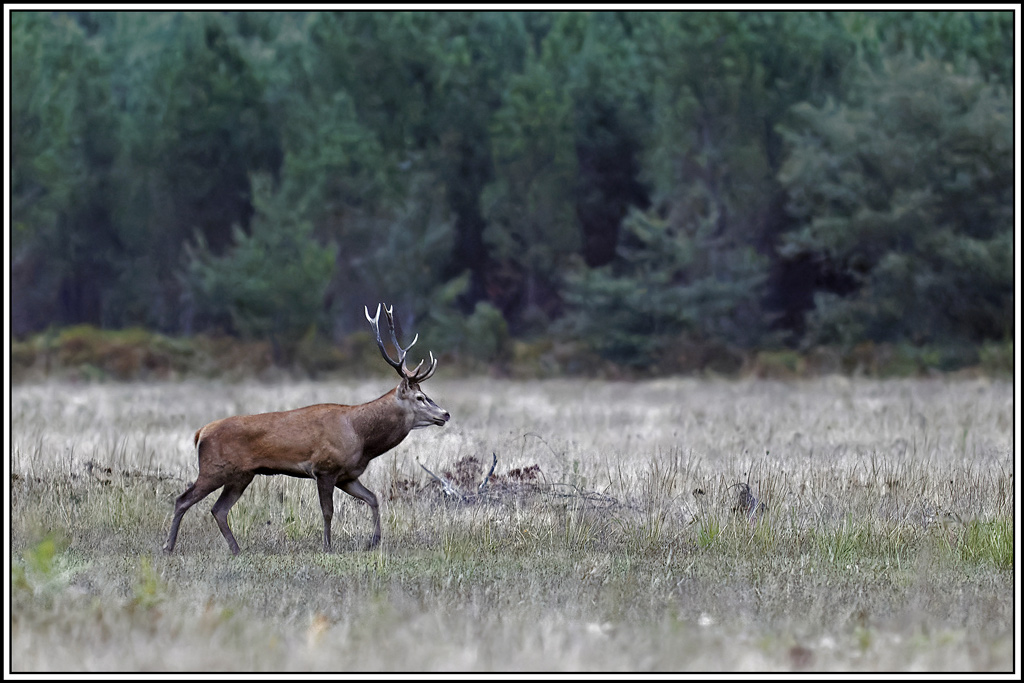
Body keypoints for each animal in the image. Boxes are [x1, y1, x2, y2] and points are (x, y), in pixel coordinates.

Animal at [163, 304, 450, 555]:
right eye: (420, 397)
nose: (445, 414)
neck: (361, 437)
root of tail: (200, 433)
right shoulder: (324, 468)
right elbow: (328, 511)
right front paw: (328, 546)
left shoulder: (347, 475)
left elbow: (373, 498)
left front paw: (373, 541)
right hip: (214, 468)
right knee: (183, 499)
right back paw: (168, 547)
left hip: (241, 475)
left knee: (218, 509)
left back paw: (236, 549)